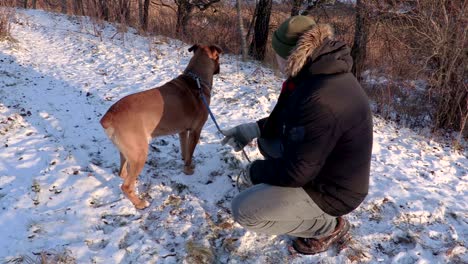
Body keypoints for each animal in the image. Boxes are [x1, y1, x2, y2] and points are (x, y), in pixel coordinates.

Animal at [100, 44, 221, 209]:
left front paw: (184, 161)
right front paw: (188, 170)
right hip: (140, 153)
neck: (196, 79)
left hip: (127, 152)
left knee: (122, 173)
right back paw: (140, 203)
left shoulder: (183, 131)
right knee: (126, 186)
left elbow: (185, 150)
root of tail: (110, 116)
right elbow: (190, 153)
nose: (219, 69)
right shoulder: (196, 131)